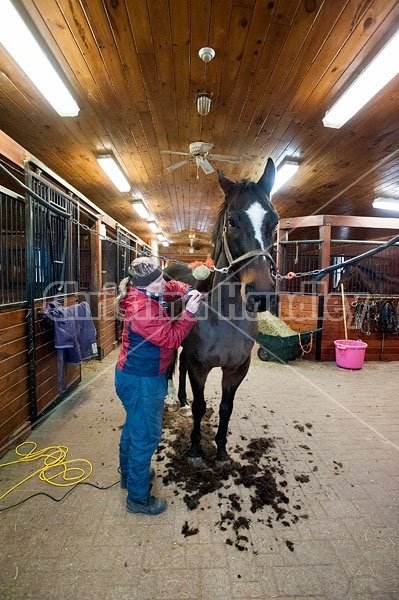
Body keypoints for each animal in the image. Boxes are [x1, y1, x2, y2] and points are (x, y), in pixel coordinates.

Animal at [178, 161, 278, 468]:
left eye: (275, 222)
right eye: (232, 221)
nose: (261, 294)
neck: (224, 320)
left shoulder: (237, 369)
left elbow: (225, 407)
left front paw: (221, 451)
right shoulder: (200, 366)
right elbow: (201, 407)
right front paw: (195, 450)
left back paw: (182, 401)